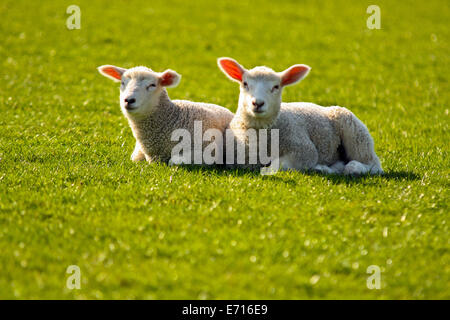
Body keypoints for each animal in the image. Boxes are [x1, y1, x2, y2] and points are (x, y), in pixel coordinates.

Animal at [96, 65, 234, 165]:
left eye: (152, 85)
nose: (129, 100)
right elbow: (134, 158)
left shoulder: (206, 152)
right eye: (122, 83)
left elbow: (174, 161)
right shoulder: (138, 153)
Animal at [218, 57, 384, 175]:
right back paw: (325, 168)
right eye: (245, 83)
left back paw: (353, 167)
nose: (257, 103)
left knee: (373, 164)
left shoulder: (304, 149)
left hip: (355, 132)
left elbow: (279, 165)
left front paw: (268, 169)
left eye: (276, 86)